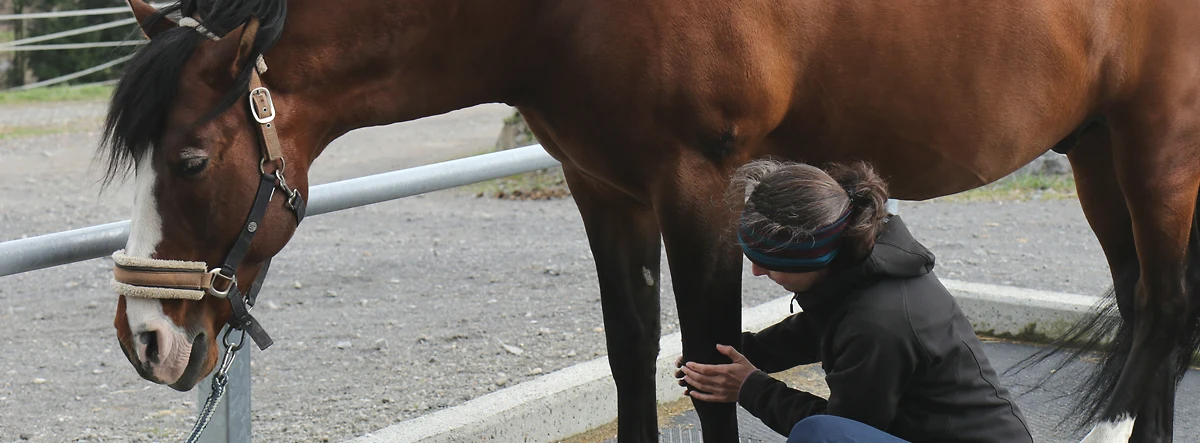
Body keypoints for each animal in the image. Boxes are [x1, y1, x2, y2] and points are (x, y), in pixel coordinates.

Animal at [105, 0, 1200, 439]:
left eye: (191, 160)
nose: (147, 340)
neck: (562, 12)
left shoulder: (700, 187)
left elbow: (710, 367)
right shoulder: (607, 190)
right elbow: (635, 355)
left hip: (1158, 156)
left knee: (1164, 323)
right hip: (1098, 154)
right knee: (1151, 318)